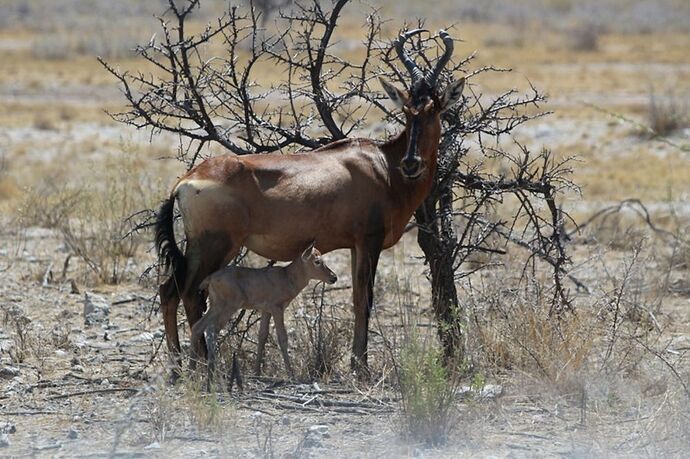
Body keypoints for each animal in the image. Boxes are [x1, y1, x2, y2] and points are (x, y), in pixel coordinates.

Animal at [189, 244, 338, 380]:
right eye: (317, 261)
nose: (334, 277)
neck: (287, 277)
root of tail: (210, 278)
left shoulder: (266, 311)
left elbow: (262, 336)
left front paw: (257, 373)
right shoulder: (277, 309)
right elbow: (282, 337)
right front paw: (291, 375)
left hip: (215, 307)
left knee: (198, 327)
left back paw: (192, 370)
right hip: (227, 308)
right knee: (211, 330)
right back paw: (211, 372)